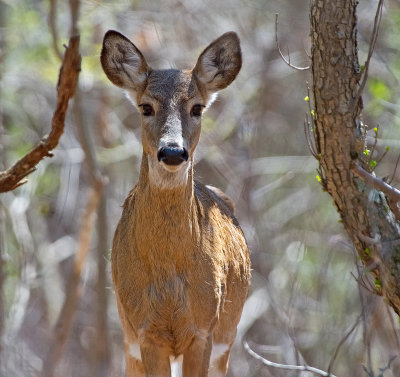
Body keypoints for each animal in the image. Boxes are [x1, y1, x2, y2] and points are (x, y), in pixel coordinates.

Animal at [100, 30, 250, 376]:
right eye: (146, 107)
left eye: (197, 108)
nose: (172, 152)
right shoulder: (145, 332)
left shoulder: (204, 330)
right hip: (128, 340)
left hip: (226, 341)